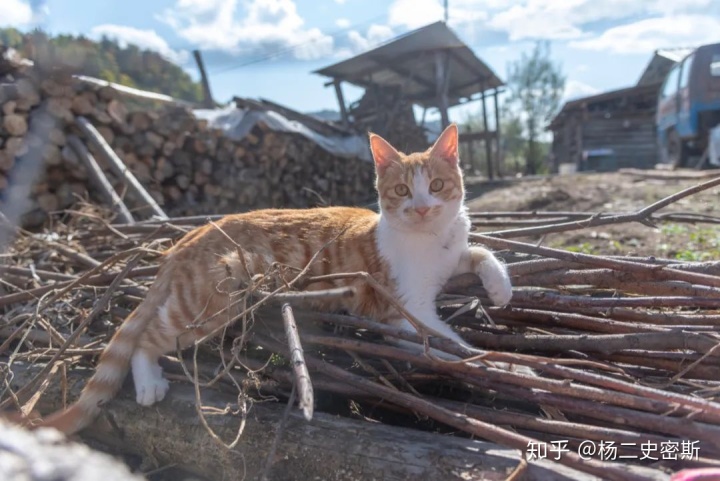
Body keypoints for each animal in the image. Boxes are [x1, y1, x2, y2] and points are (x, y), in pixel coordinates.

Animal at [38, 122, 512, 434]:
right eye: (401, 192)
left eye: (436, 185)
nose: (422, 208)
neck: (431, 239)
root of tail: (189, 235)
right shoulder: (402, 312)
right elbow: (445, 340)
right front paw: (491, 360)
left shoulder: (453, 257)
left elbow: (481, 252)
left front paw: (500, 287)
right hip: (212, 300)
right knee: (147, 337)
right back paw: (149, 380)